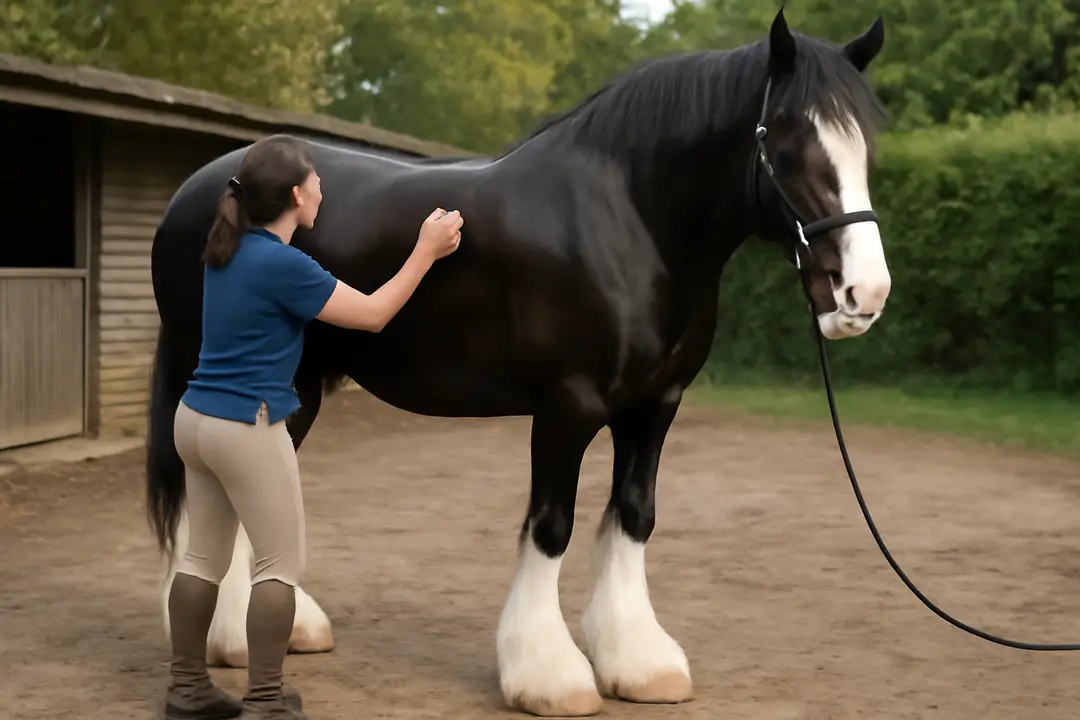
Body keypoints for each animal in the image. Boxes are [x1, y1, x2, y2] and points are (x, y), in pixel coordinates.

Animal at [147, 8, 891, 716]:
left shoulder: (655, 406)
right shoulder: (568, 406)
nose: (865, 294)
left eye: (865, 143)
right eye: (788, 140)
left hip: (293, 384)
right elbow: (552, 526)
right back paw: (226, 638)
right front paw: (548, 675)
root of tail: (207, 187)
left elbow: (635, 514)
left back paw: (276, 630)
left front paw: (638, 663)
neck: (628, 220)